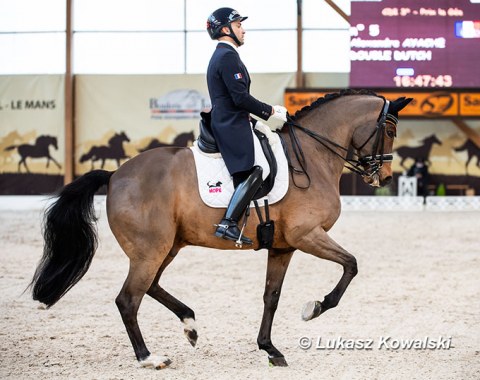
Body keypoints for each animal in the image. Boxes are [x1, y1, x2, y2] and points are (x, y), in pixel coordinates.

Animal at [30, 90, 412, 370]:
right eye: (390, 131)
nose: (384, 178)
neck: (312, 156)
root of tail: (114, 175)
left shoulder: (283, 246)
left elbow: (271, 296)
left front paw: (269, 348)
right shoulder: (307, 235)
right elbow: (351, 264)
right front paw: (315, 307)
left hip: (167, 247)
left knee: (150, 286)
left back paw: (190, 325)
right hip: (150, 250)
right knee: (128, 299)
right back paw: (149, 358)